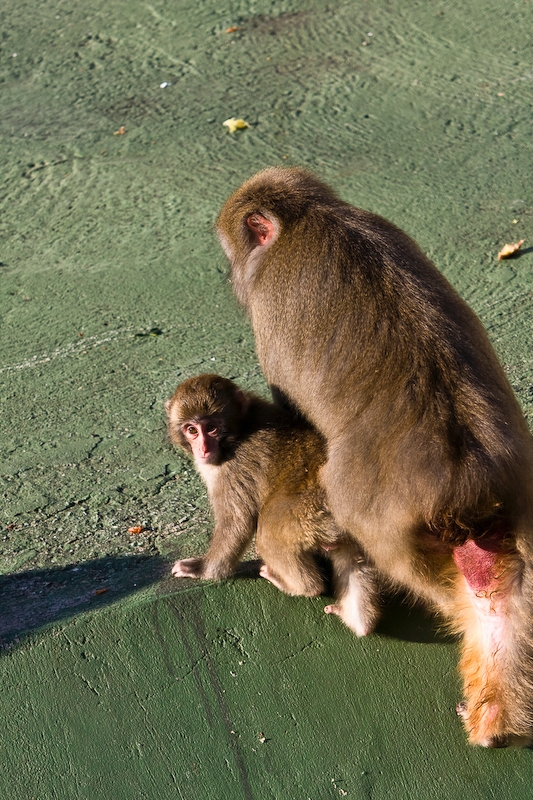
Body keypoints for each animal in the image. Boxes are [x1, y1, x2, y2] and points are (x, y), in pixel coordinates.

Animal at [166, 374, 380, 638]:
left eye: (211, 428)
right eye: (192, 430)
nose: (203, 448)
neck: (240, 430)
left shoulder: (233, 468)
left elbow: (237, 522)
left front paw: (203, 570)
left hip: (311, 510)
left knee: (269, 533)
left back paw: (304, 587)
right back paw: (360, 623)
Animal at [216, 167, 533, 747]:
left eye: (235, 255)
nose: (229, 277)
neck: (310, 217)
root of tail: (470, 472)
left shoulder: (270, 306)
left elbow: (291, 414)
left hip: (382, 516)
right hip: (511, 506)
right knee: (501, 592)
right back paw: (493, 713)